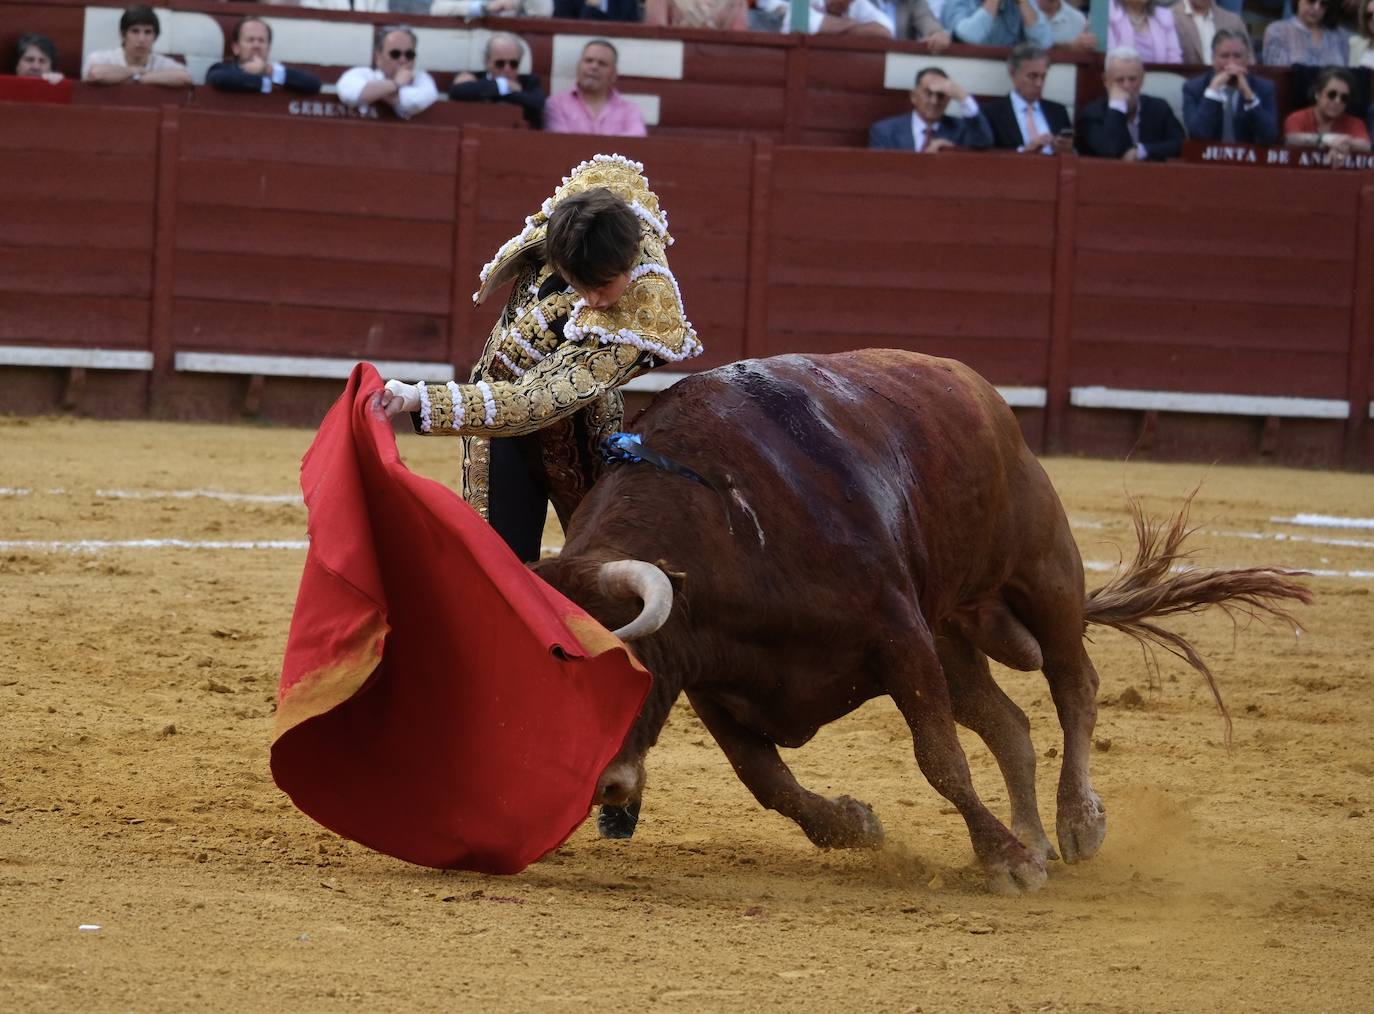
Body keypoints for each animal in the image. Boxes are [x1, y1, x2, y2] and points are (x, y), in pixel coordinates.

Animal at [530, 348, 1302, 890]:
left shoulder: (898, 641)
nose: (598, 786)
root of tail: (977, 390)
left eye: (624, 668)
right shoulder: (712, 681)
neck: (724, 520)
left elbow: (940, 760)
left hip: (1044, 571)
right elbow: (768, 782)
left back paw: (1077, 824)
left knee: (1074, 685)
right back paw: (1034, 835)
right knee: (1009, 725)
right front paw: (860, 824)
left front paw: (1005, 863)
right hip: (952, 633)